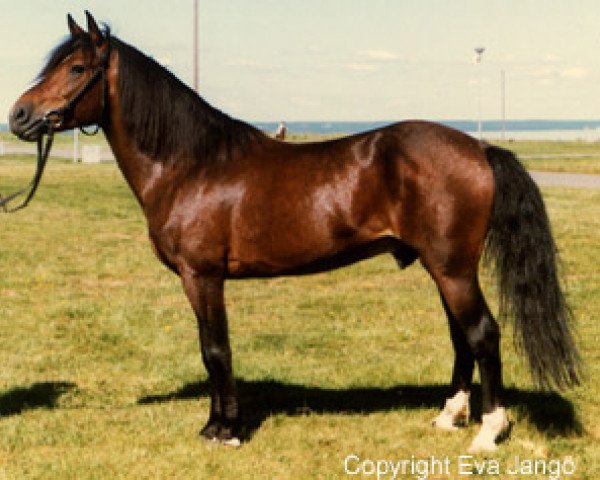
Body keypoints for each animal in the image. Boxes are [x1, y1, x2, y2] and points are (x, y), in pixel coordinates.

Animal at [8, 13, 580, 452]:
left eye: (76, 67)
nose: (18, 115)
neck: (192, 165)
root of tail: (478, 148)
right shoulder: (199, 280)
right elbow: (208, 349)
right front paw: (215, 425)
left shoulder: (202, 276)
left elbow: (216, 349)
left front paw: (226, 431)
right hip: (442, 268)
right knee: (462, 335)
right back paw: (449, 416)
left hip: (454, 269)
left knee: (482, 333)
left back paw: (488, 432)